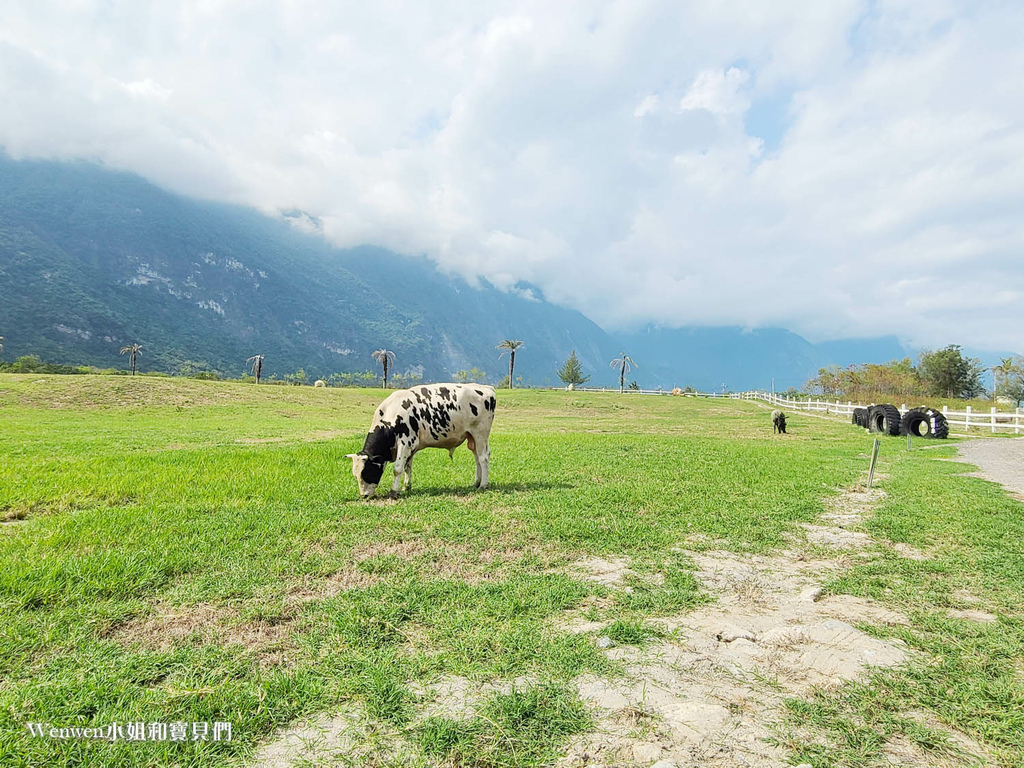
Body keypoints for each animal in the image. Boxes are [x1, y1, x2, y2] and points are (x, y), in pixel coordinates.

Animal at [346, 382, 497, 499]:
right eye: (355, 474)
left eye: (366, 472)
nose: (364, 495)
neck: (391, 413)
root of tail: (486, 388)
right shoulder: (411, 446)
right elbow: (407, 467)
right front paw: (406, 487)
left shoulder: (405, 443)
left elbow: (398, 469)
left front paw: (394, 491)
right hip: (472, 437)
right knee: (477, 458)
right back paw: (476, 482)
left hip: (480, 433)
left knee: (483, 457)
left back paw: (483, 485)